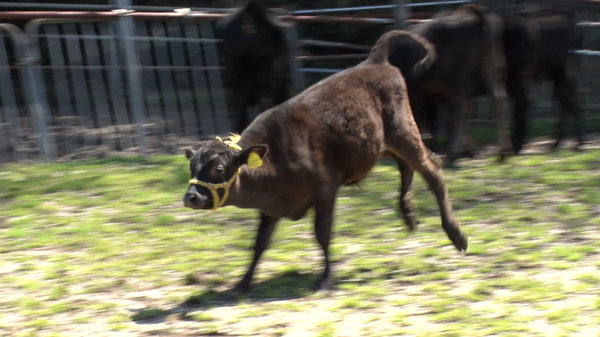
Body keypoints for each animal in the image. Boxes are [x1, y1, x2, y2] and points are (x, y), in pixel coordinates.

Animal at [390, 3, 510, 164]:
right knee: (496, 102)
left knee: (462, 110)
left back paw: (452, 155)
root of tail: (471, 9)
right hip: (491, 72)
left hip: (460, 82)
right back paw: (503, 152)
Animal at [502, 11, 580, 152]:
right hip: (558, 75)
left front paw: (517, 143)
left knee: (572, 101)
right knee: (566, 102)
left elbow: (519, 107)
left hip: (563, 72)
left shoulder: (516, 78)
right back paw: (559, 143)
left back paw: (576, 143)